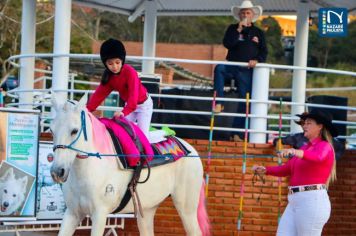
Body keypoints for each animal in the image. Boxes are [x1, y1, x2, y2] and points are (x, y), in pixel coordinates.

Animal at [50, 94, 211, 236]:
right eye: (52, 130)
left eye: (74, 130)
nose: (57, 171)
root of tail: (189, 149)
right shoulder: (72, 214)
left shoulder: (100, 214)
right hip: (147, 209)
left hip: (187, 209)